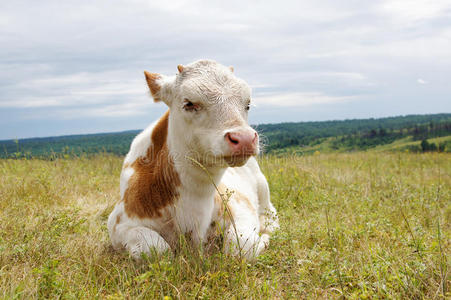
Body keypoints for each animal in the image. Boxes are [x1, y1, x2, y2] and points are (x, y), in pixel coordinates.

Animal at [108, 59, 278, 260]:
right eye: (189, 103)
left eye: (248, 104)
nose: (244, 138)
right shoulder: (118, 225)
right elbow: (156, 249)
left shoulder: (241, 207)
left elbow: (240, 247)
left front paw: (264, 240)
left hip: (263, 187)